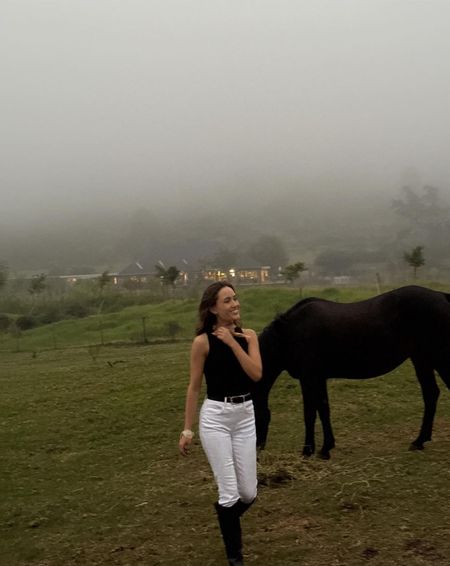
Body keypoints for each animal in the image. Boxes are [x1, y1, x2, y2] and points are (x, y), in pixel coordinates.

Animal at [251, 286, 450, 460]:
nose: (256, 454)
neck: (289, 333)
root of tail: (442, 296)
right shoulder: (319, 378)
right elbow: (323, 409)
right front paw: (326, 448)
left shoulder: (308, 378)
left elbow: (309, 413)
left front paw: (307, 451)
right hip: (421, 359)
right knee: (431, 394)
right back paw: (419, 441)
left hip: (437, 357)